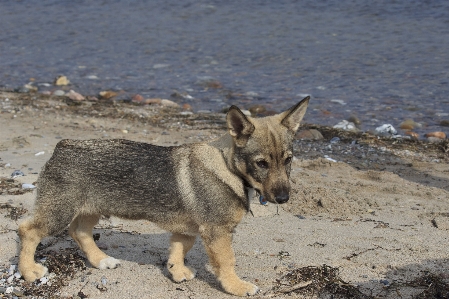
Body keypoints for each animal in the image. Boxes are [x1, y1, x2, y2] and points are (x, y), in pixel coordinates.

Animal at [20, 97, 308, 296]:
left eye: (288, 160)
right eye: (261, 164)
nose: (284, 199)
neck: (228, 167)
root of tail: (62, 146)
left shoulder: (188, 230)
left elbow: (179, 250)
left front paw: (177, 272)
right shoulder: (217, 232)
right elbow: (227, 262)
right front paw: (236, 286)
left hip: (91, 209)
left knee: (79, 232)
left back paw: (101, 260)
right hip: (59, 213)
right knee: (28, 231)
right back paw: (29, 272)